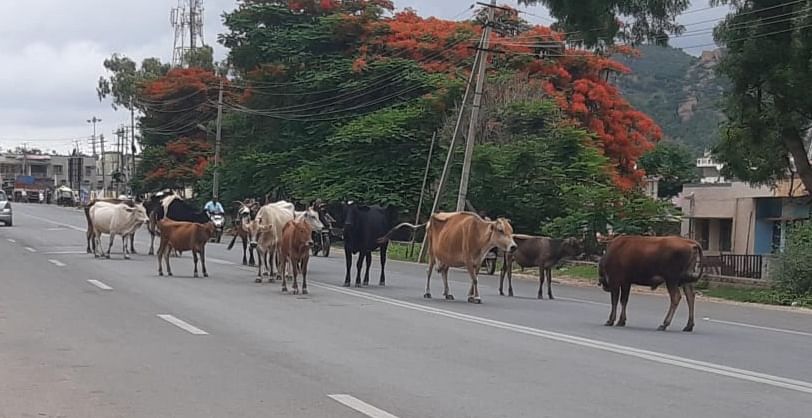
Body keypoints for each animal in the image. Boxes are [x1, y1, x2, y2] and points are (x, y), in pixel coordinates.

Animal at [380, 212, 512, 304]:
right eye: (500, 230)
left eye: (511, 231)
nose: (513, 246)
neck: (479, 235)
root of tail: (432, 217)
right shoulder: (468, 259)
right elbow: (474, 279)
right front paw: (477, 297)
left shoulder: (478, 261)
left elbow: (474, 279)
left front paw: (471, 296)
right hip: (432, 252)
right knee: (429, 271)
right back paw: (427, 292)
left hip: (446, 256)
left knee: (444, 272)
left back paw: (447, 293)